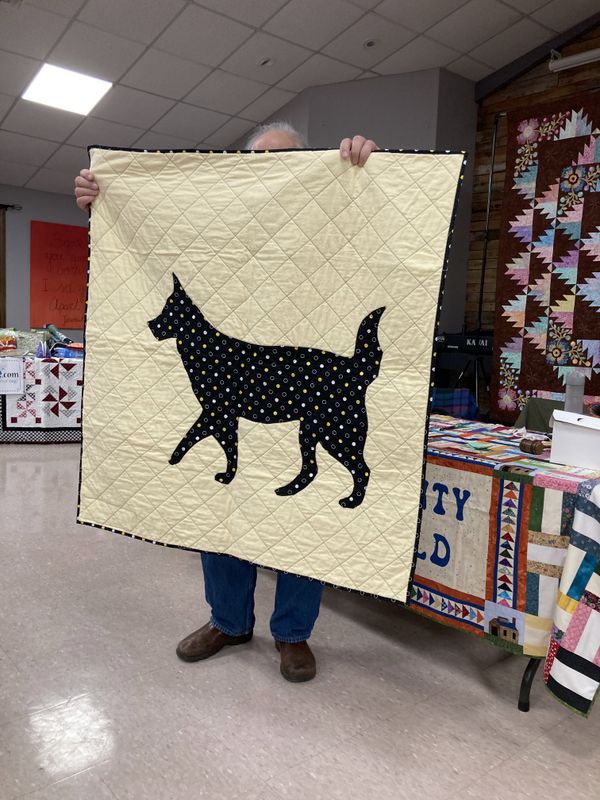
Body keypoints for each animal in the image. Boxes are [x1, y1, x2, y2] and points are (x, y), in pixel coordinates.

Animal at [148, 274, 384, 508]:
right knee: (311, 469)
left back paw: (353, 502)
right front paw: (193, 466)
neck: (205, 349)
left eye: (168, 312)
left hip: (338, 434)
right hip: (310, 431)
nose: (150, 325)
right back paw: (288, 491)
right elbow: (210, 442)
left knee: (362, 470)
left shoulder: (218, 415)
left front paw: (200, 468)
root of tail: (356, 368)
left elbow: (209, 442)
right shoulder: (220, 418)